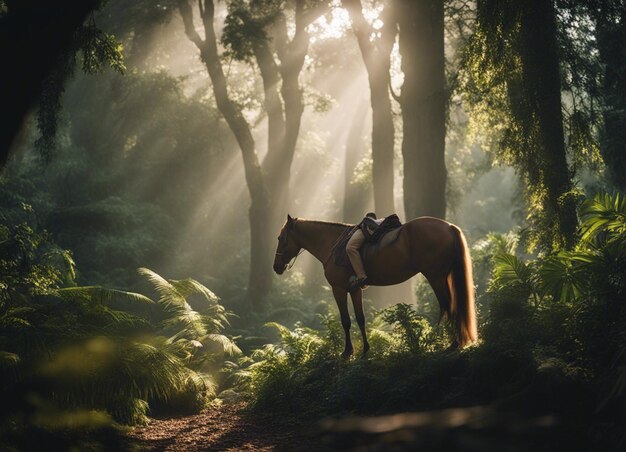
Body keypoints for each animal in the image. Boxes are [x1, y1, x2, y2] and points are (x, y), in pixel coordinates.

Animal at [270, 215, 476, 356]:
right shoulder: (354, 290)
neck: (332, 244)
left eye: (280, 238)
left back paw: (451, 343)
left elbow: (346, 320)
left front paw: (347, 352)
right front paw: (365, 350)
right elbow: (360, 318)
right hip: (443, 276)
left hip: (435, 276)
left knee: (447, 305)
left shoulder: (338, 289)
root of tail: (448, 226)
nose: (276, 267)